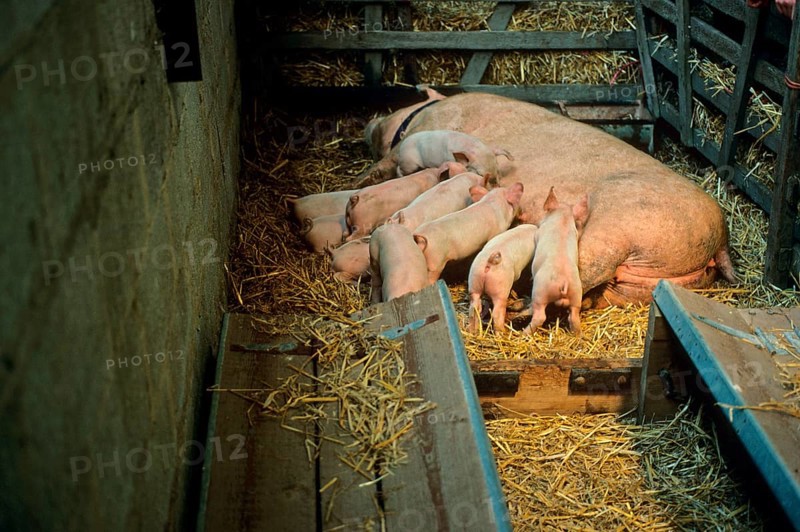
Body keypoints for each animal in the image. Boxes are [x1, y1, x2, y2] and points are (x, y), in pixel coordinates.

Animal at [523, 187, 589, 336]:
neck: (562, 219)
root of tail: (564, 282)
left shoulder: (539, 233)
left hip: (540, 291)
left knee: (540, 316)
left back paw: (524, 332)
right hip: (577, 293)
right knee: (574, 317)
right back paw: (578, 335)